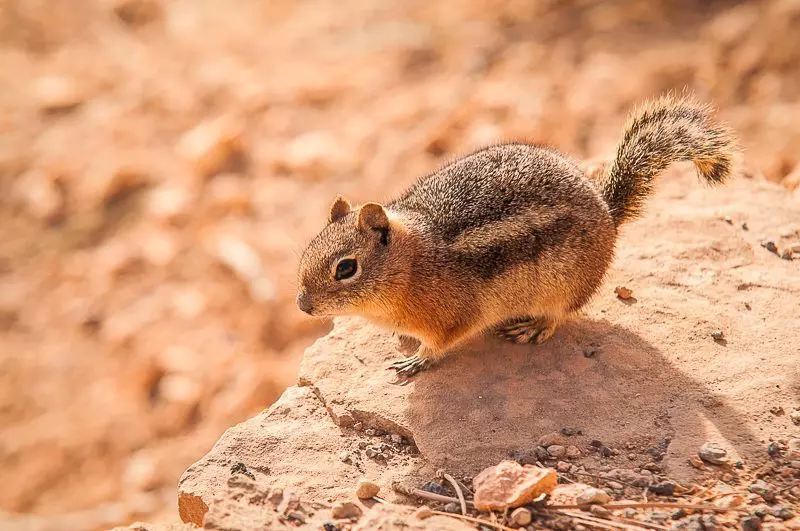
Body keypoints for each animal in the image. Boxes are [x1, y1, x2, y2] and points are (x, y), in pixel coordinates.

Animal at [296, 94, 736, 377]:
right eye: (306, 251)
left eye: (346, 268)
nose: (302, 305)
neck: (413, 265)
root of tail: (608, 213)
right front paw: (404, 341)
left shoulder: (454, 318)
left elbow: (440, 344)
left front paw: (418, 360)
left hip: (565, 286)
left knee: (561, 314)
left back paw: (533, 327)